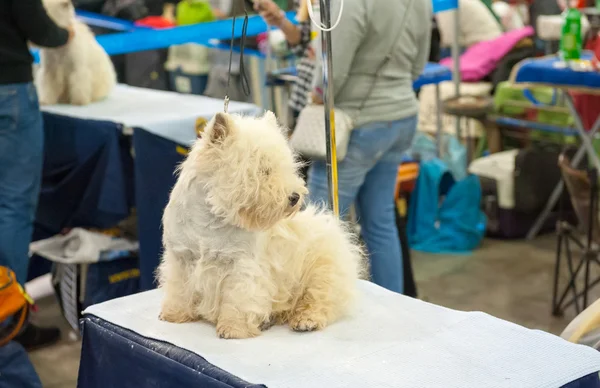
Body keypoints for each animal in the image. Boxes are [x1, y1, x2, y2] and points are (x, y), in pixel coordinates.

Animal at [158, 110, 366, 338]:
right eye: (263, 169)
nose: (294, 197)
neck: (210, 219)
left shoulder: (242, 266)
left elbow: (238, 299)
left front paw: (232, 328)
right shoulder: (181, 258)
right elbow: (179, 290)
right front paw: (174, 314)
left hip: (322, 269)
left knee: (321, 298)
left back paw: (305, 320)